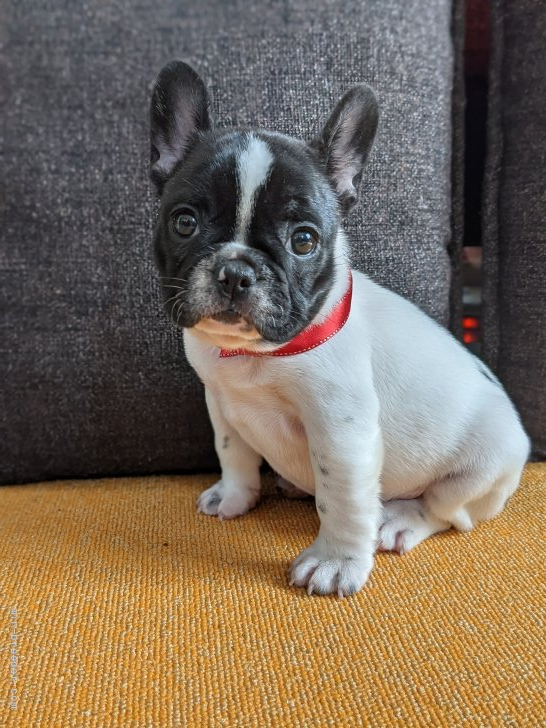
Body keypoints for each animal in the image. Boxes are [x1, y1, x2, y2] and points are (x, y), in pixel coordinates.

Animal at [150, 61, 529, 597]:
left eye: (304, 241)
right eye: (184, 223)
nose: (236, 271)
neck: (256, 356)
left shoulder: (341, 431)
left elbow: (342, 498)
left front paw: (336, 561)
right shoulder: (221, 403)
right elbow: (234, 453)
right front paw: (235, 496)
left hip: (482, 468)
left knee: (446, 510)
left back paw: (400, 520)